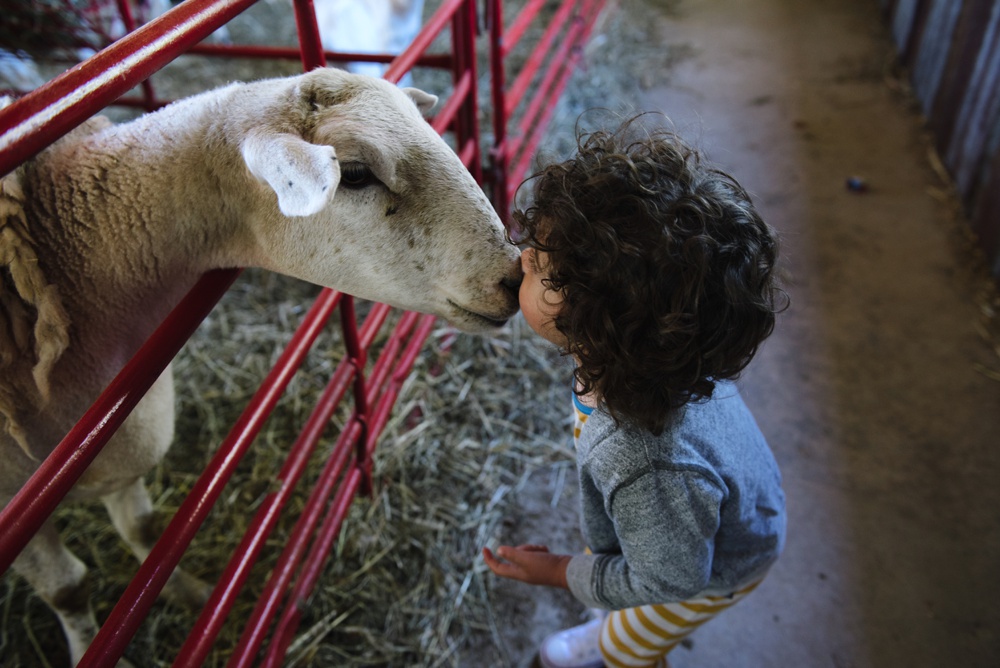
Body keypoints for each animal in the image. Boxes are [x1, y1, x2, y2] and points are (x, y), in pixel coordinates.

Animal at [1, 68, 524, 668]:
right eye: (356, 173)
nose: (514, 277)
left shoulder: (114, 448)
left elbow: (147, 530)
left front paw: (186, 592)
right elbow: (69, 589)